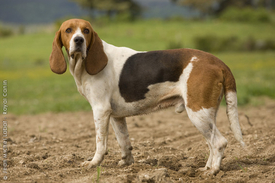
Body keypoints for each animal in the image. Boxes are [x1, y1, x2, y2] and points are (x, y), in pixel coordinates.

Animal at [49, 18, 246, 174]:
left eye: (86, 31)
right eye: (68, 30)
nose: (79, 40)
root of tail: (218, 62)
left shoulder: (100, 110)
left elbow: (100, 143)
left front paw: (94, 163)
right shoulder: (116, 116)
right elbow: (124, 141)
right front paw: (127, 164)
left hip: (198, 113)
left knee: (219, 142)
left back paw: (212, 171)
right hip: (206, 114)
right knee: (211, 143)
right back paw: (207, 167)